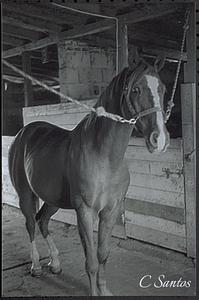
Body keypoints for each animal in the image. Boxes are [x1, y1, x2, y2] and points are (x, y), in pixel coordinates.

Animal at [7, 56, 169, 296]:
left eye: (163, 89)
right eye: (136, 89)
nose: (160, 140)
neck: (104, 157)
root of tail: (23, 133)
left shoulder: (110, 211)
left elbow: (103, 254)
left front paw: (104, 291)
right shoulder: (84, 211)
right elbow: (91, 260)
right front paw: (94, 292)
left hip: (53, 200)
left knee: (42, 221)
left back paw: (55, 264)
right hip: (26, 196)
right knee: (30, 225)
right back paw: (36, 266)